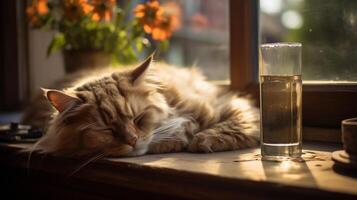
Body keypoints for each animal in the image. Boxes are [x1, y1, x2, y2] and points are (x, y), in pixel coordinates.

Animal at [23, 55, 258, 158]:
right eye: (106, 130)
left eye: (138, 119)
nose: (133, 140)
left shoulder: (226, 104)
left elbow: (232, 125)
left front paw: (203, 139)